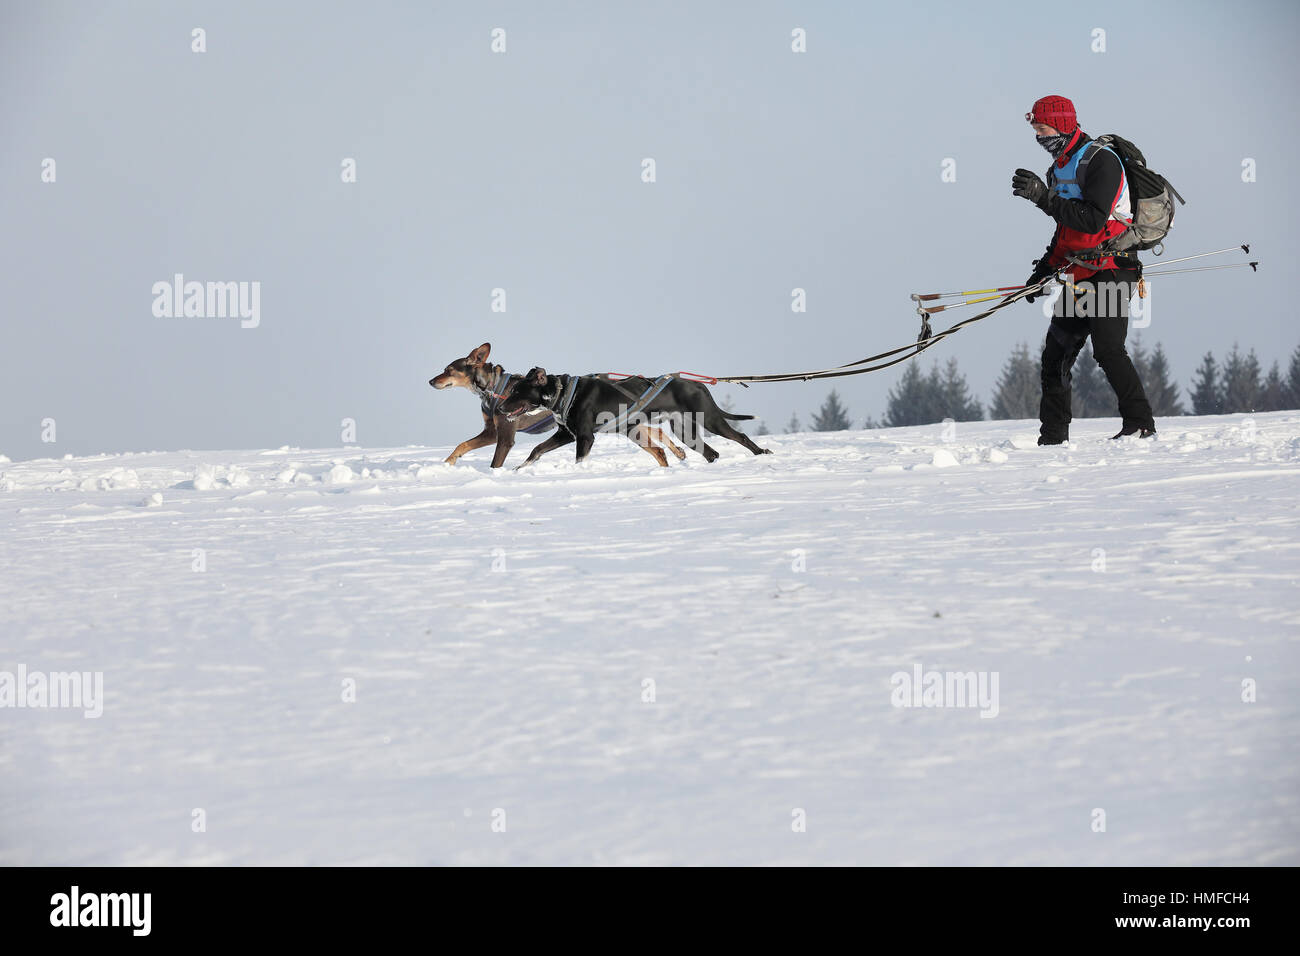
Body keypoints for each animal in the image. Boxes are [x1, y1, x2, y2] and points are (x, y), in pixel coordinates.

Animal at [499, 366, 769, 468]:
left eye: (517, 392)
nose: (500, 409)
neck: (564, 393)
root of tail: (698, 384)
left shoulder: (584, 437)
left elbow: (579, 460)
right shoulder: (566, 434)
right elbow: (536, 450)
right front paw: (519, 470)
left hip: (710, 419)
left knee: (741, 437)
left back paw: (762, 453)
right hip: (684, 432)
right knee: (711, 453)